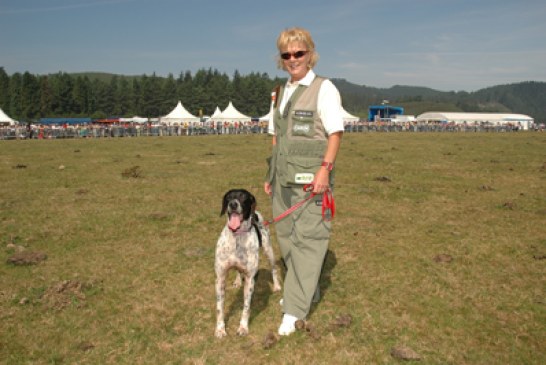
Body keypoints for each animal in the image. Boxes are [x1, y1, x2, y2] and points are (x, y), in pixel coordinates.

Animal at [212, 189, 280, 336]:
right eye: (228, 197)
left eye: (243, 196)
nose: (233, 204)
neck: (237, 236)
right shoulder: (220, 278)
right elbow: (219, 308)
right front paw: (220, 329)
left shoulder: (249, 280)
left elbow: (246, 307)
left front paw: (243, 327)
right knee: (238, 271)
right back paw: (238, 281)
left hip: (268, 250)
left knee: (274, 268)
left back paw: (277, 285)